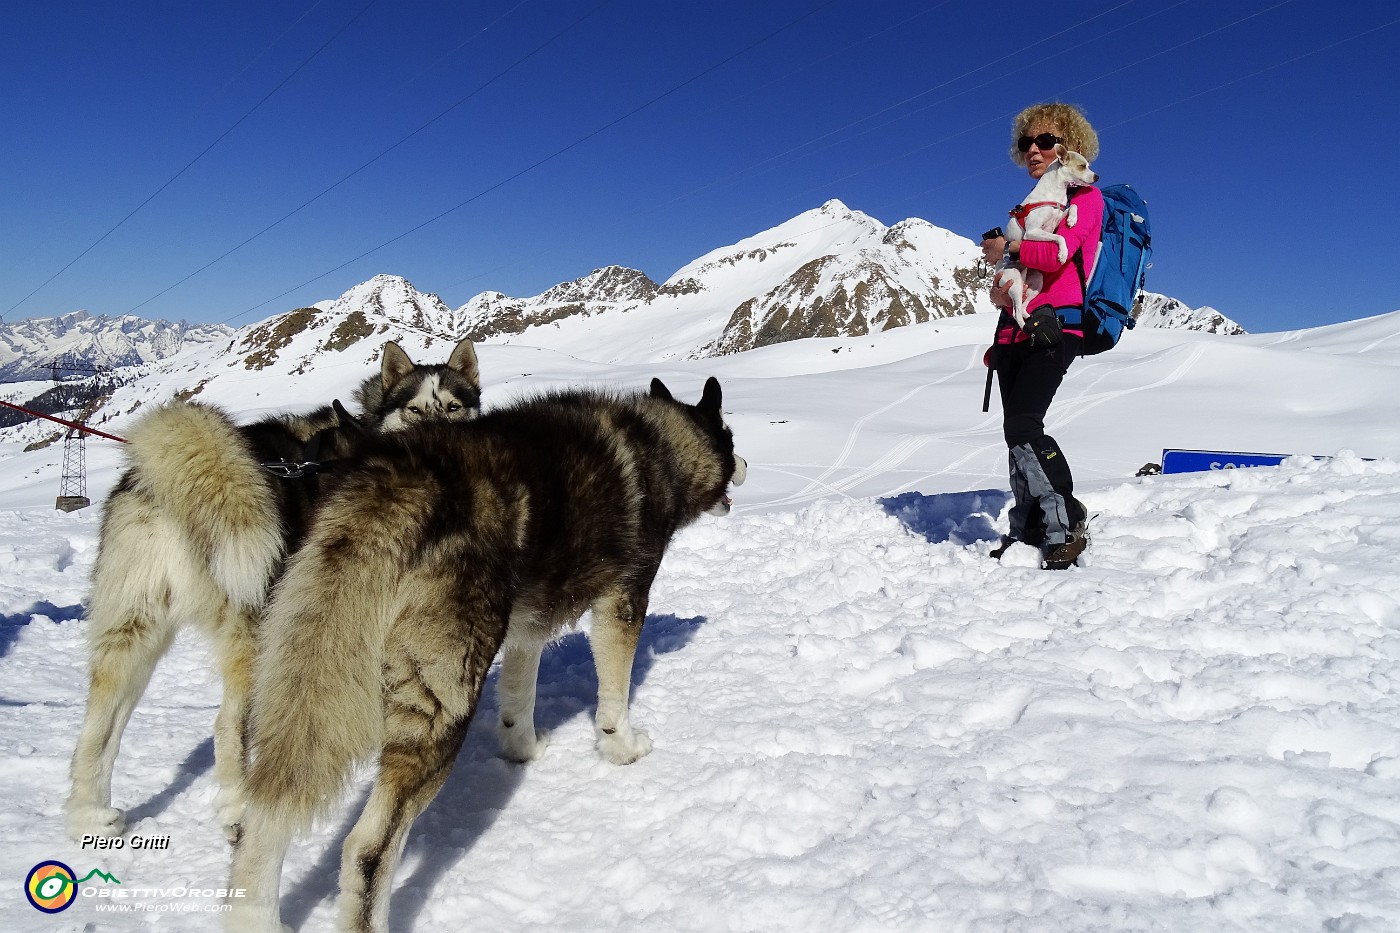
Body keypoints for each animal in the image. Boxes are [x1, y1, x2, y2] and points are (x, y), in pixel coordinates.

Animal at [65, 336, 481, 840]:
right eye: (415, 409)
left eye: (454, 406)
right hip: (252, 629)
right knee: (226, 726)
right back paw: (236, 811)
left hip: (133, 630)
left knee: (99, 729)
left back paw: (90, 816)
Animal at [229, 375, 750, 924]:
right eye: (730, 436)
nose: (745, 464)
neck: (661, 445)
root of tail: (397, 486)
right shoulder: (624, 601)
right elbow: (614, 698)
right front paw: (622, 748)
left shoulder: (526, 625)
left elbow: (520, 697)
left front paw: (524, 748)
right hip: (443, 701)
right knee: (368, 850)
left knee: (262, 824)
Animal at [996, 141, 1092, 323]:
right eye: (1082, 166)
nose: (1097, 177)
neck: (1055, 192)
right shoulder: (1032, 232)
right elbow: (1060, 236)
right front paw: (1062, 254)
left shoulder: (1057, 217)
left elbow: (1073, 207)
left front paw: (1072, 220)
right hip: (1014, 281)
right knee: (1016, 313)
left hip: (1036, 283)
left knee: (1023, 307)